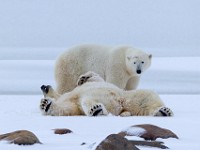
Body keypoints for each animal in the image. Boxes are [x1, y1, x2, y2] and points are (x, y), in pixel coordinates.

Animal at [39, 71, 173, 117]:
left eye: (44, 91)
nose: (43, 86)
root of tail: (122, 107)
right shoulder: (70, 101)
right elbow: (67, 109)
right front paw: (45, 104)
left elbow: (96, 78)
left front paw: (82, 78)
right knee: (86, 101)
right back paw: (96, 109)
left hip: (129, 96)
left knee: (147, 97)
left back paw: (164, 111)